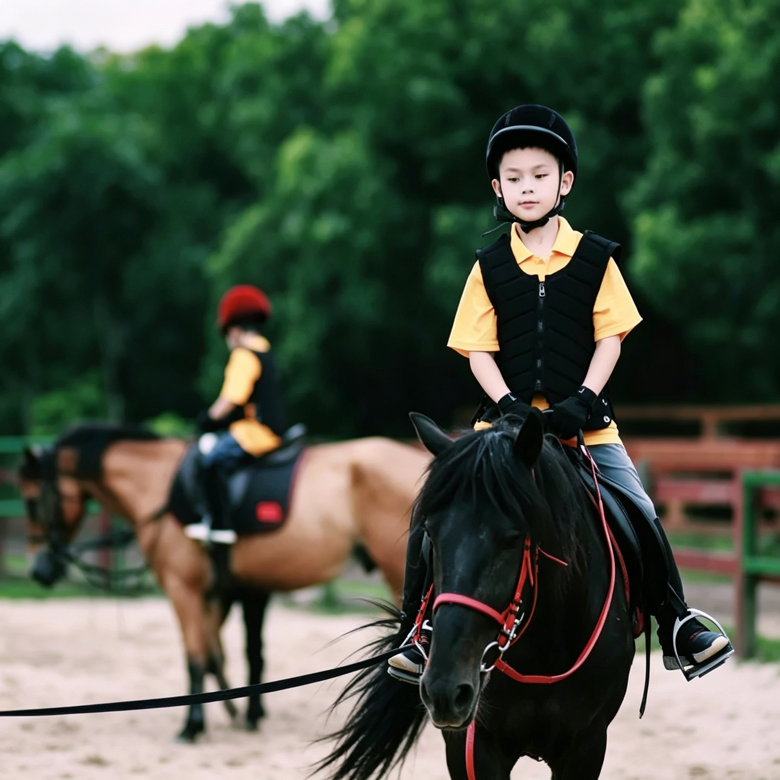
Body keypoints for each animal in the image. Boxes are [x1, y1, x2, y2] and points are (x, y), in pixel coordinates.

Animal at [19, 423, 430, 742]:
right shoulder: (227, 591)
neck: (161, 486)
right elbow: (226, 653)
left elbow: (197, 656)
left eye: (33, 501)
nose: (38, 570)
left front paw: (193, 726)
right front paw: (239, 712)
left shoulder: (184, 589)